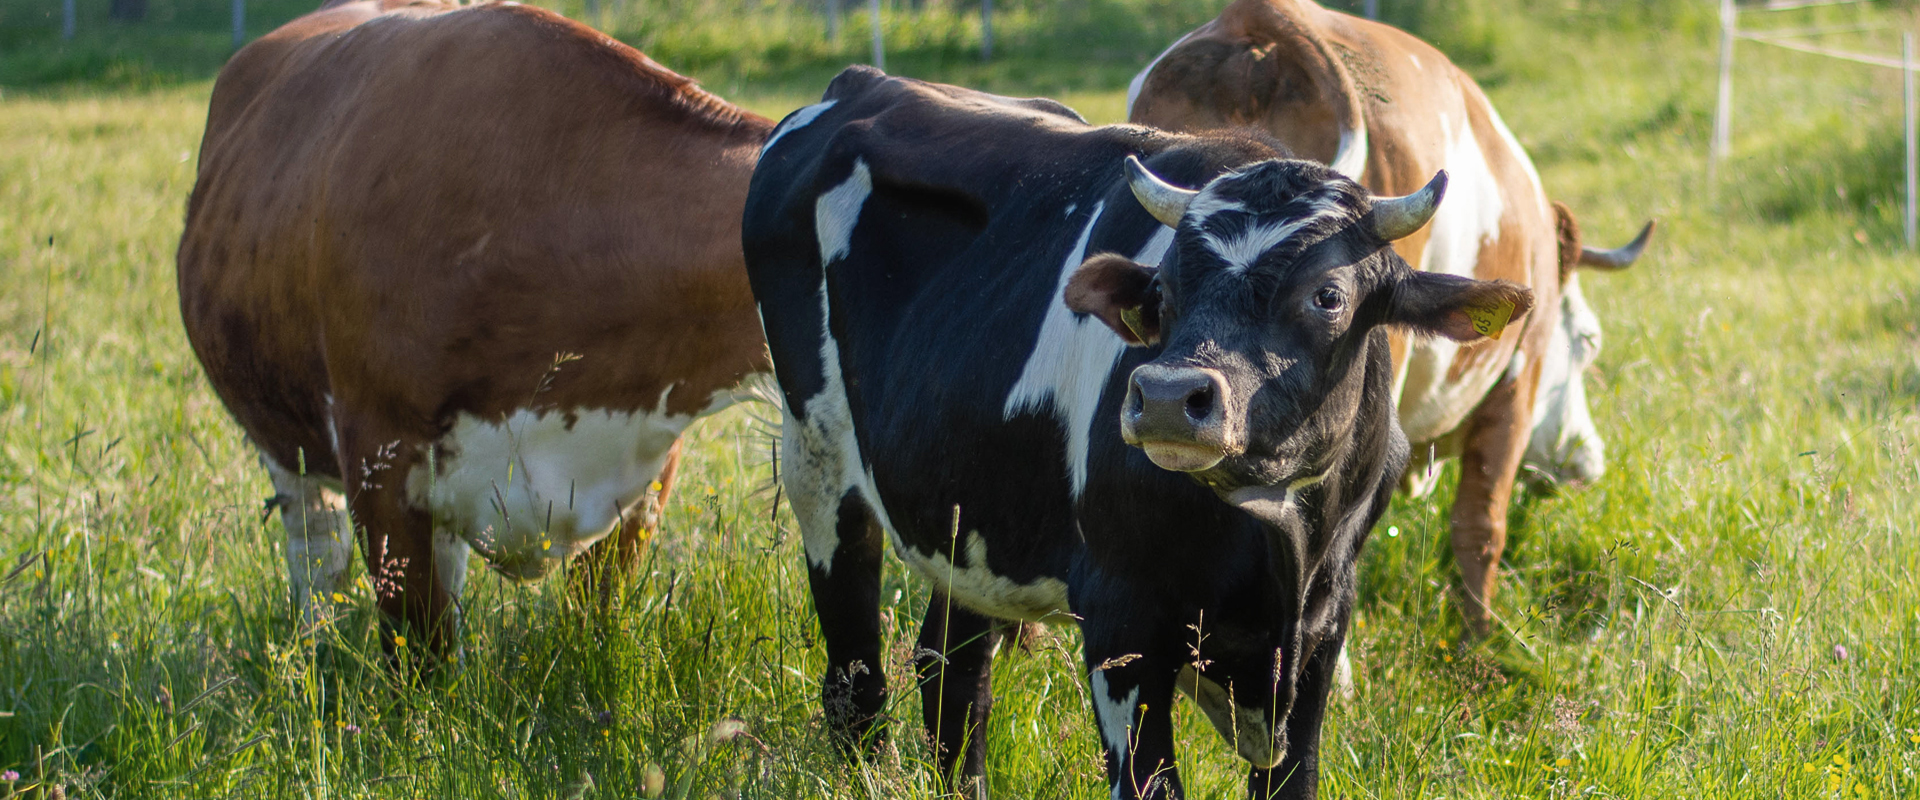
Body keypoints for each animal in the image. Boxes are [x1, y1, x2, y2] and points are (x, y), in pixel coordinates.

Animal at [178, 0, 771, 656]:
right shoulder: (378, 453)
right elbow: (421, 647)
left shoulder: (648, 461)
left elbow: (595, 615)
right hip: (289, 444)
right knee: (315, 552)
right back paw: (313, 651)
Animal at [741, 65, 1536, 794]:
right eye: (1164, 291)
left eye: (1328, 295)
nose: (1165, 396)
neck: (1278, 537)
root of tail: (862, 82)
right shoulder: (1122, 620)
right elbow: (1150, 781)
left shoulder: (1322, 627)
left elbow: (1293, 777)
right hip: (816, 463)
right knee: (855, 677)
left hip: (966, 518)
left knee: (951, 679)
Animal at [1121, 0, 1651, 636]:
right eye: (1588, 341)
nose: (1584, 461)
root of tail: (1265, 24)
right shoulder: (1515, 388)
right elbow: (1481, 528)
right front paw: (1481, 642)